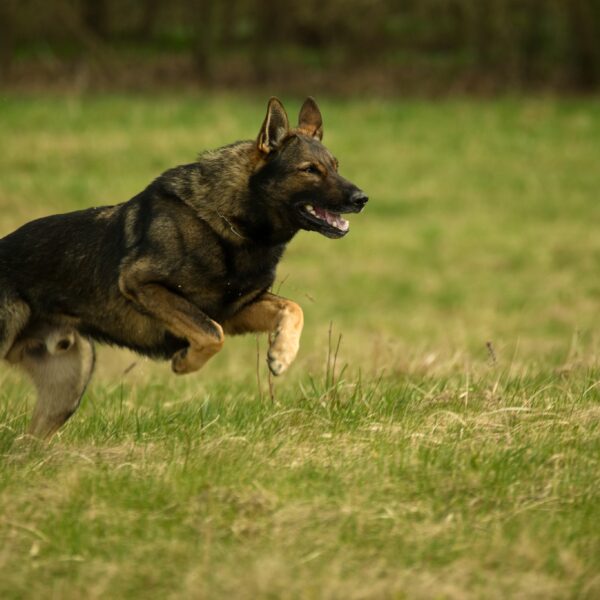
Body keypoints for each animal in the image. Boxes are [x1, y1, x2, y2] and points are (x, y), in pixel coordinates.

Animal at [0, 97, 367, 438]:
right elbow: (213, 335)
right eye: (310, 169)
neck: (232, 222)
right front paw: (185, 362)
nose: (362, 199)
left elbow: (291, 308)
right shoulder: (143, 285)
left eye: (335, 166)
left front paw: (281, 354)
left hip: (68, 386)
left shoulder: (236, 309)